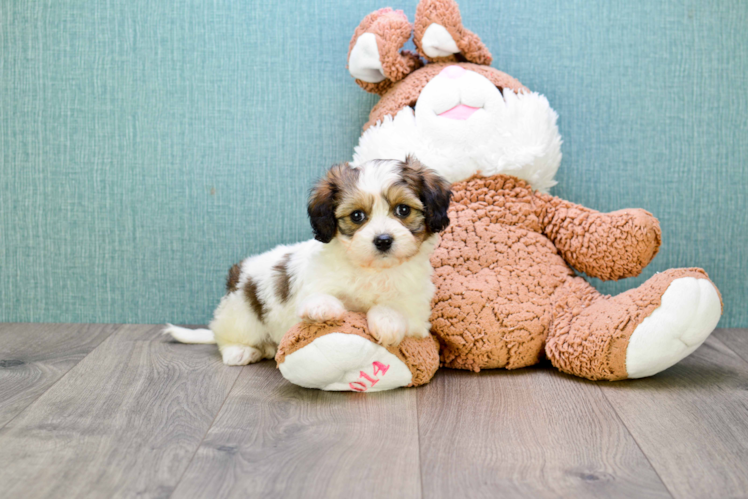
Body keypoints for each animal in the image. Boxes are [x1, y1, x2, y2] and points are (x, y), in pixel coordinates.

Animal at [165, 156, 450, 368]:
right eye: (357, 216)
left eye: (403, 210)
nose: (383, 240)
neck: (373, 270)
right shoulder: (313, 281)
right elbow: (317, 295)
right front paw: (323, 307)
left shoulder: (417, 309)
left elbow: (397, 309)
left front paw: (387, 321)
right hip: (241, 314)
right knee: (224, 336)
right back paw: (240, 351)